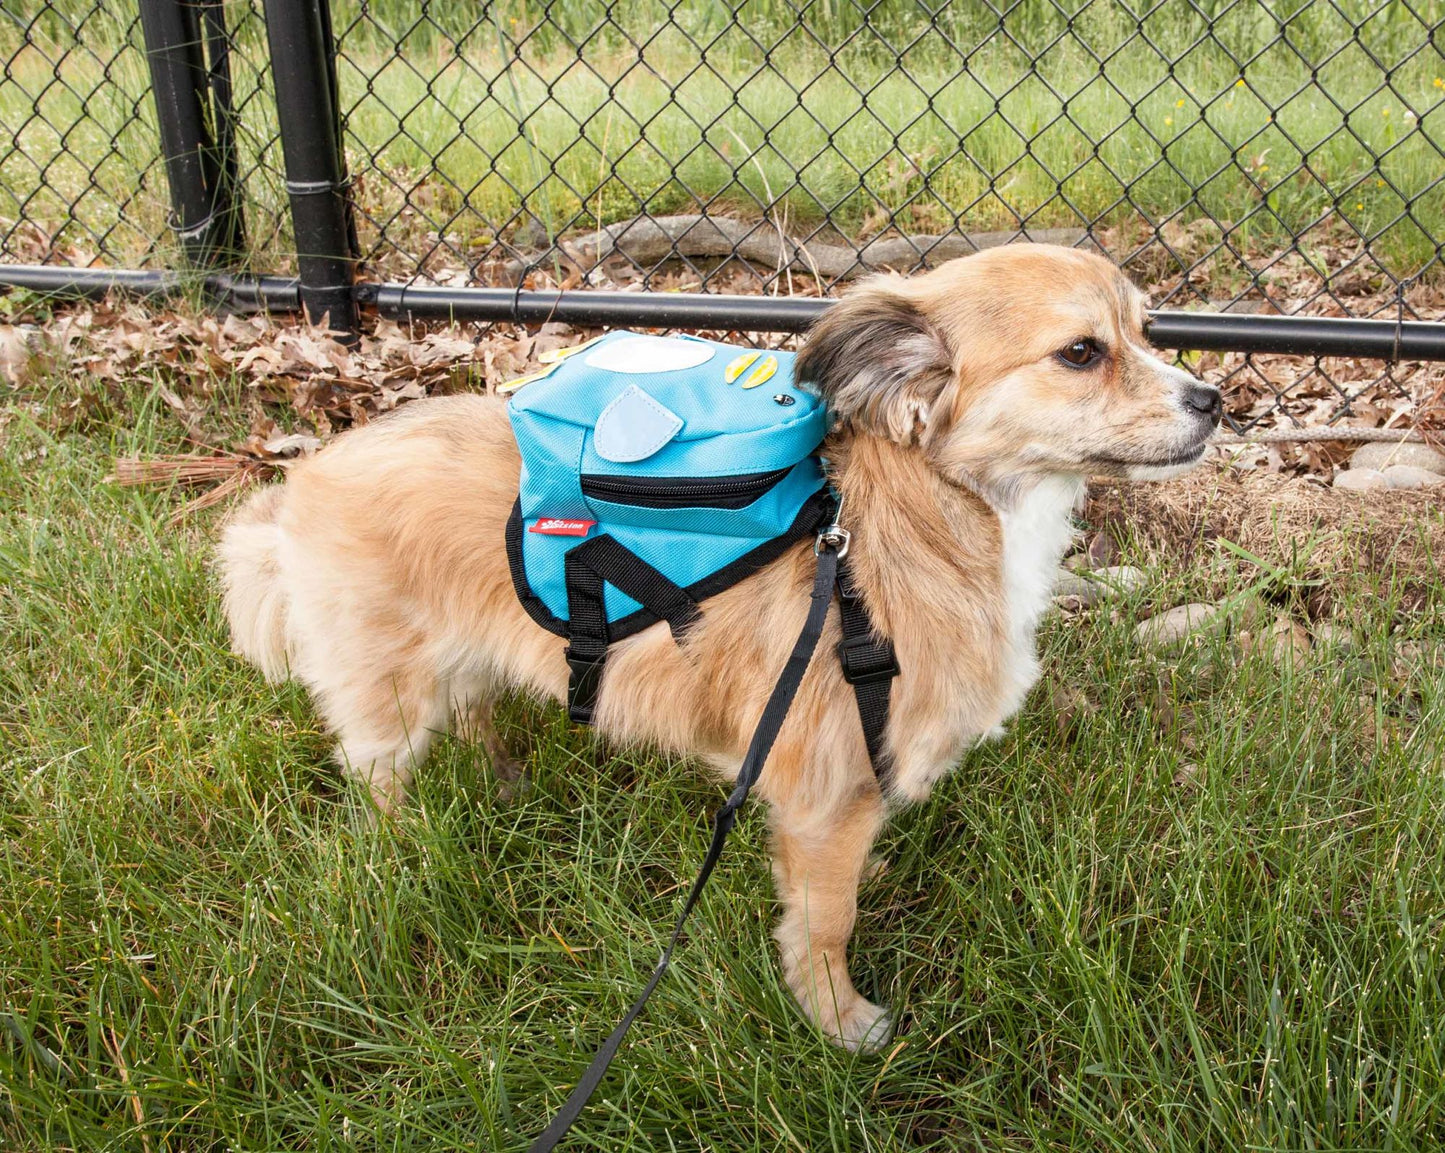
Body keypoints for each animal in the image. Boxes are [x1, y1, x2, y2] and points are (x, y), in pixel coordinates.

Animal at [216, 245, 1219, 1057]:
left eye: (1144, 331)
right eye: (1081, 353)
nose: (1213, 399)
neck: (921, 521)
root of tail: (302, 481)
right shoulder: (824, 784)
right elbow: (825, 921)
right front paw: (838, 1019)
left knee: (474, 713)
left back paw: (501, 783)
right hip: (390, 704)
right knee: (380, 778)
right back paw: (409, 847)